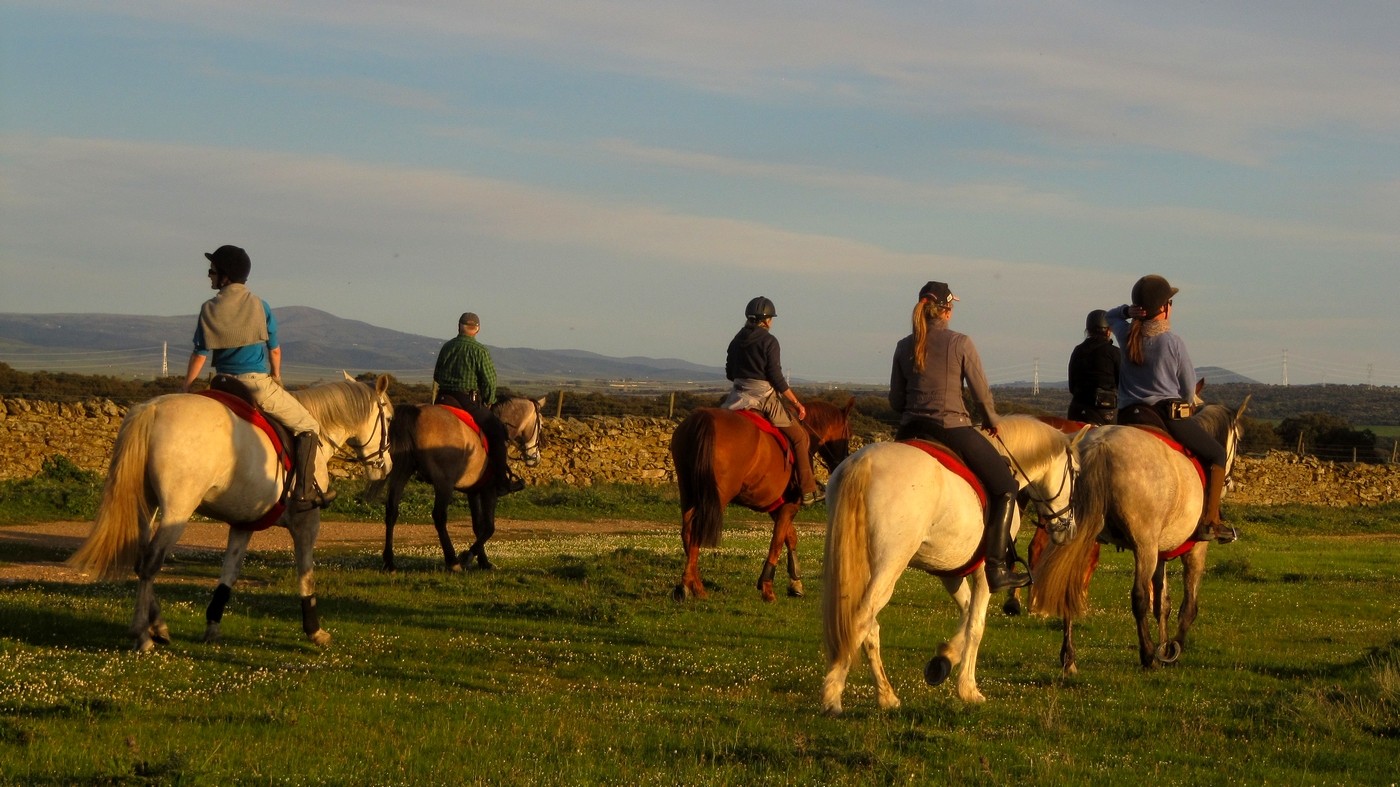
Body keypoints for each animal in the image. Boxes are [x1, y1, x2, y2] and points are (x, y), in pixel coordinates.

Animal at [68, 375, 394, 651]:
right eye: (390, 419)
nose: (386, 467)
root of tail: (153, 409)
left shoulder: (243, 523)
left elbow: (229, 573)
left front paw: (213, 624)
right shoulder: (306, 523)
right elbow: (306, 574)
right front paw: (314, 630)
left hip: (146, 507)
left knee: (141, 559)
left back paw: (158, 627)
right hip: (177, 510)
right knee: (150, 563)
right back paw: (142, 635)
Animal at [375, 402, 509, 572]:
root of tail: (415, 411)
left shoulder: (473, 491)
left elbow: (478, 526)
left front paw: (483, 561)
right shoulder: (488, 489)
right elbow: (489, 527)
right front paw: (468, 557)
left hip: (402, 470)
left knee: (392, 511)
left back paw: (389, 562)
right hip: (444, 483)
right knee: (439, 516)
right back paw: (452, 560)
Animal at [670, 398, 854, 603]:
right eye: (848, 433)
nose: (842, 462)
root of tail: (703, 419)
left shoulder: (776, 506)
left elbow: (790, 537)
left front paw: (795, 583)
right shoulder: (789, 505)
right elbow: (778, 541)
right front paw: (767, 587)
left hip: (689, 492)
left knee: (687, 532)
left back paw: (694, 585)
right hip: (715, 497)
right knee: (696, 531)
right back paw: (688, 585)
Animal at [820, 415, 1082, 714]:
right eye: (1076, 473)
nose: (1070, 529)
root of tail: (864, 462)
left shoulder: (950, 570)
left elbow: (966, 613)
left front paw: (943, 659)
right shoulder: (983, 573)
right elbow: (976, 625)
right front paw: (968, 689)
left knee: (868, 626)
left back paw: (886, 696)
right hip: (888, 567)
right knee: (862, 619)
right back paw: (833, 696)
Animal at [1031, 398, 1250, 673]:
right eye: (1238, 439)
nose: (1230, 482)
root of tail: (1099, 446)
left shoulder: (1160, 553)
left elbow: (1163, 604)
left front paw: (1165, 646)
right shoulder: (1195, 549)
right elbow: (1187, 606)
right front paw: (1173, 649)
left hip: (1077, 534)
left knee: (1068, 582)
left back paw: (1069, 657)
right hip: (1144, 545)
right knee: (1139, 597)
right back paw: (1147, 656)